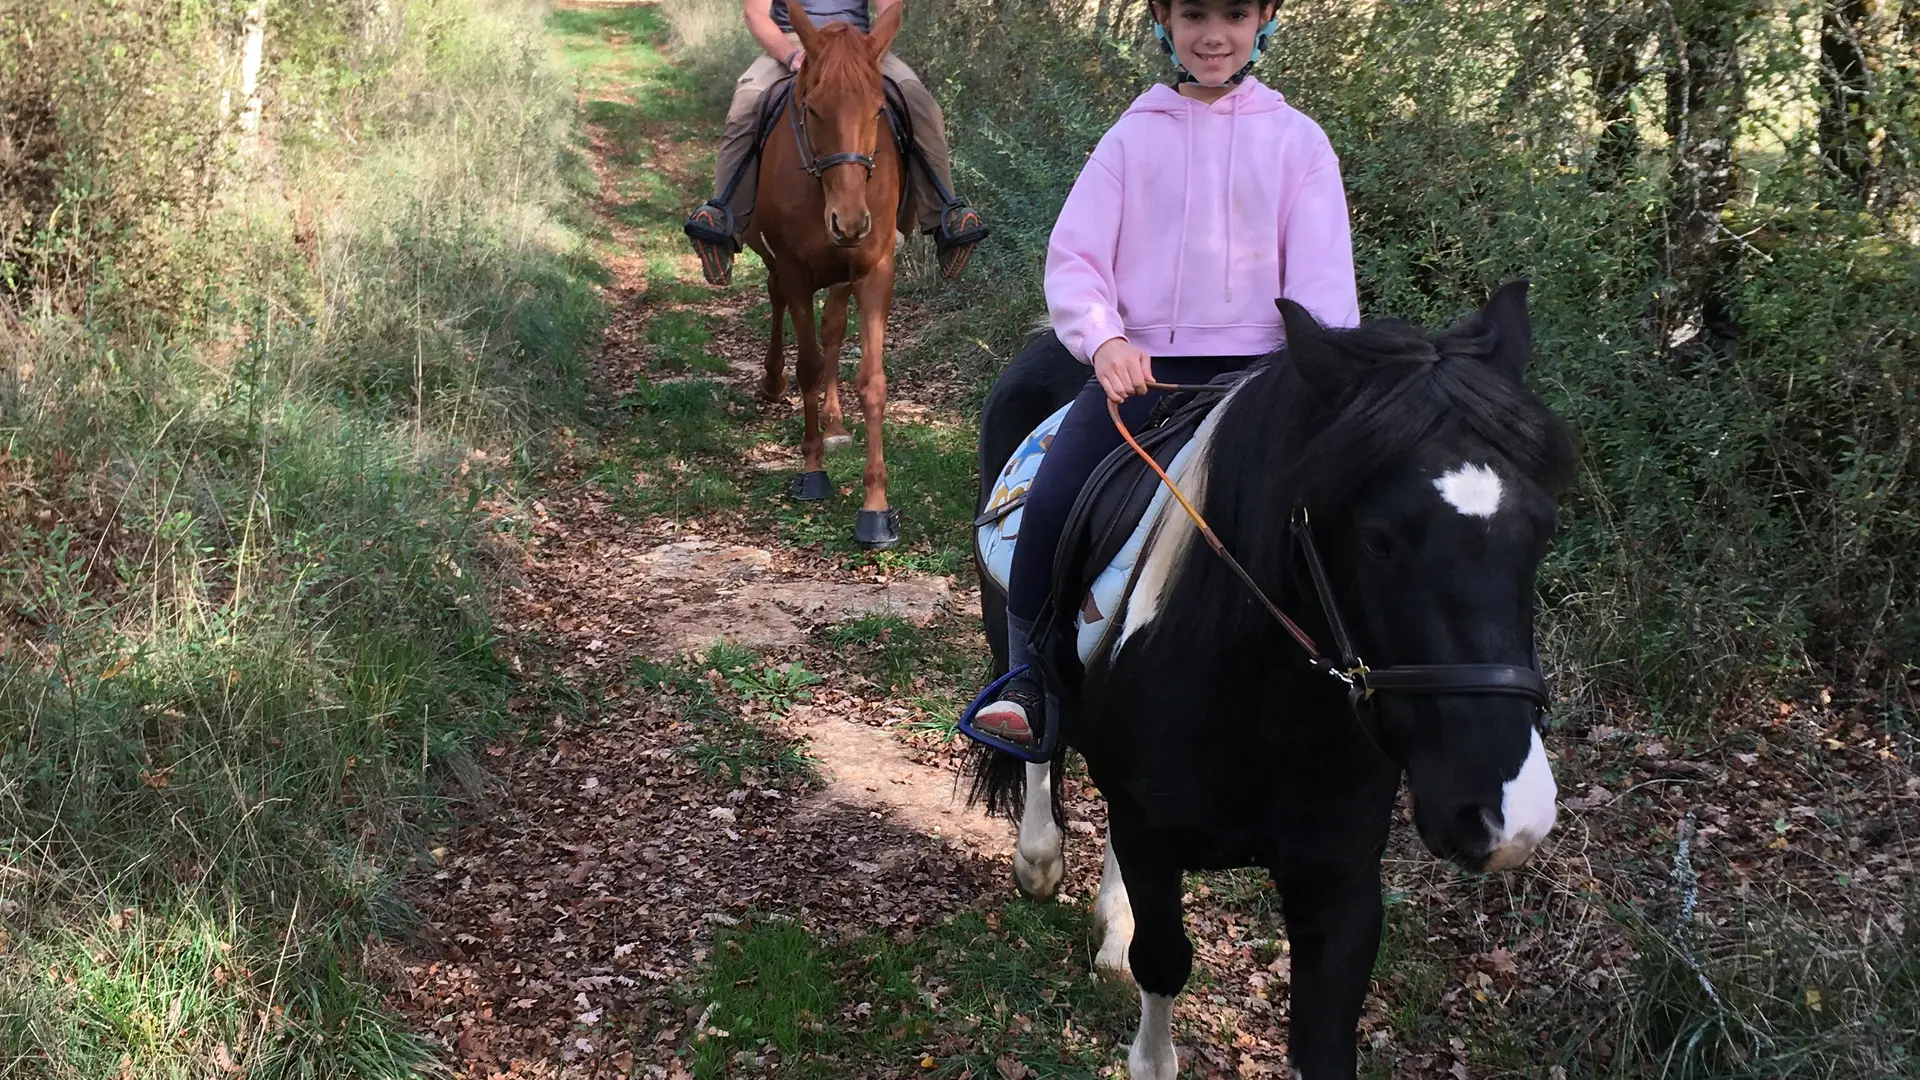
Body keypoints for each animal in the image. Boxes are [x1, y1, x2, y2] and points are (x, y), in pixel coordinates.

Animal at [744, 4, 902, 549]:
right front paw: (812, 472)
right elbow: (809, 364)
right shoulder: (793, 268)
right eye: (812, 111)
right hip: (776, 260)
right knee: (777, 303)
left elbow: (871, 379)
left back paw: (834, 421)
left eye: (878, 110)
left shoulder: (873, 271)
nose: (850, 222)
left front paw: (875, 507)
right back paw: (774, 382)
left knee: (833, 326)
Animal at [975, 282, 1574, 1068]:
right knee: (1039, 723)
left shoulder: (1340, 879)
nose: (1507, 814)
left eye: (1542, 529)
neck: (1266, 711)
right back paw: (1040, 854)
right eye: (1379, 541)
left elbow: (1323, 1037)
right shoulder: (1151, 835)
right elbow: (1162, 970)